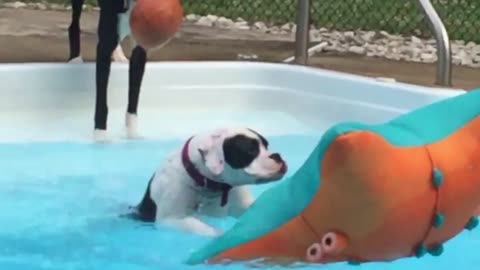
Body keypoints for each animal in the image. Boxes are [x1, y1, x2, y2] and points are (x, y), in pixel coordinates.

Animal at [127, 127, 286, 235]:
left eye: (266, 146)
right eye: (250, 151)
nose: (277, 156)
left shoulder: (243, 207)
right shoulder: (172, 220)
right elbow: (206, 229)